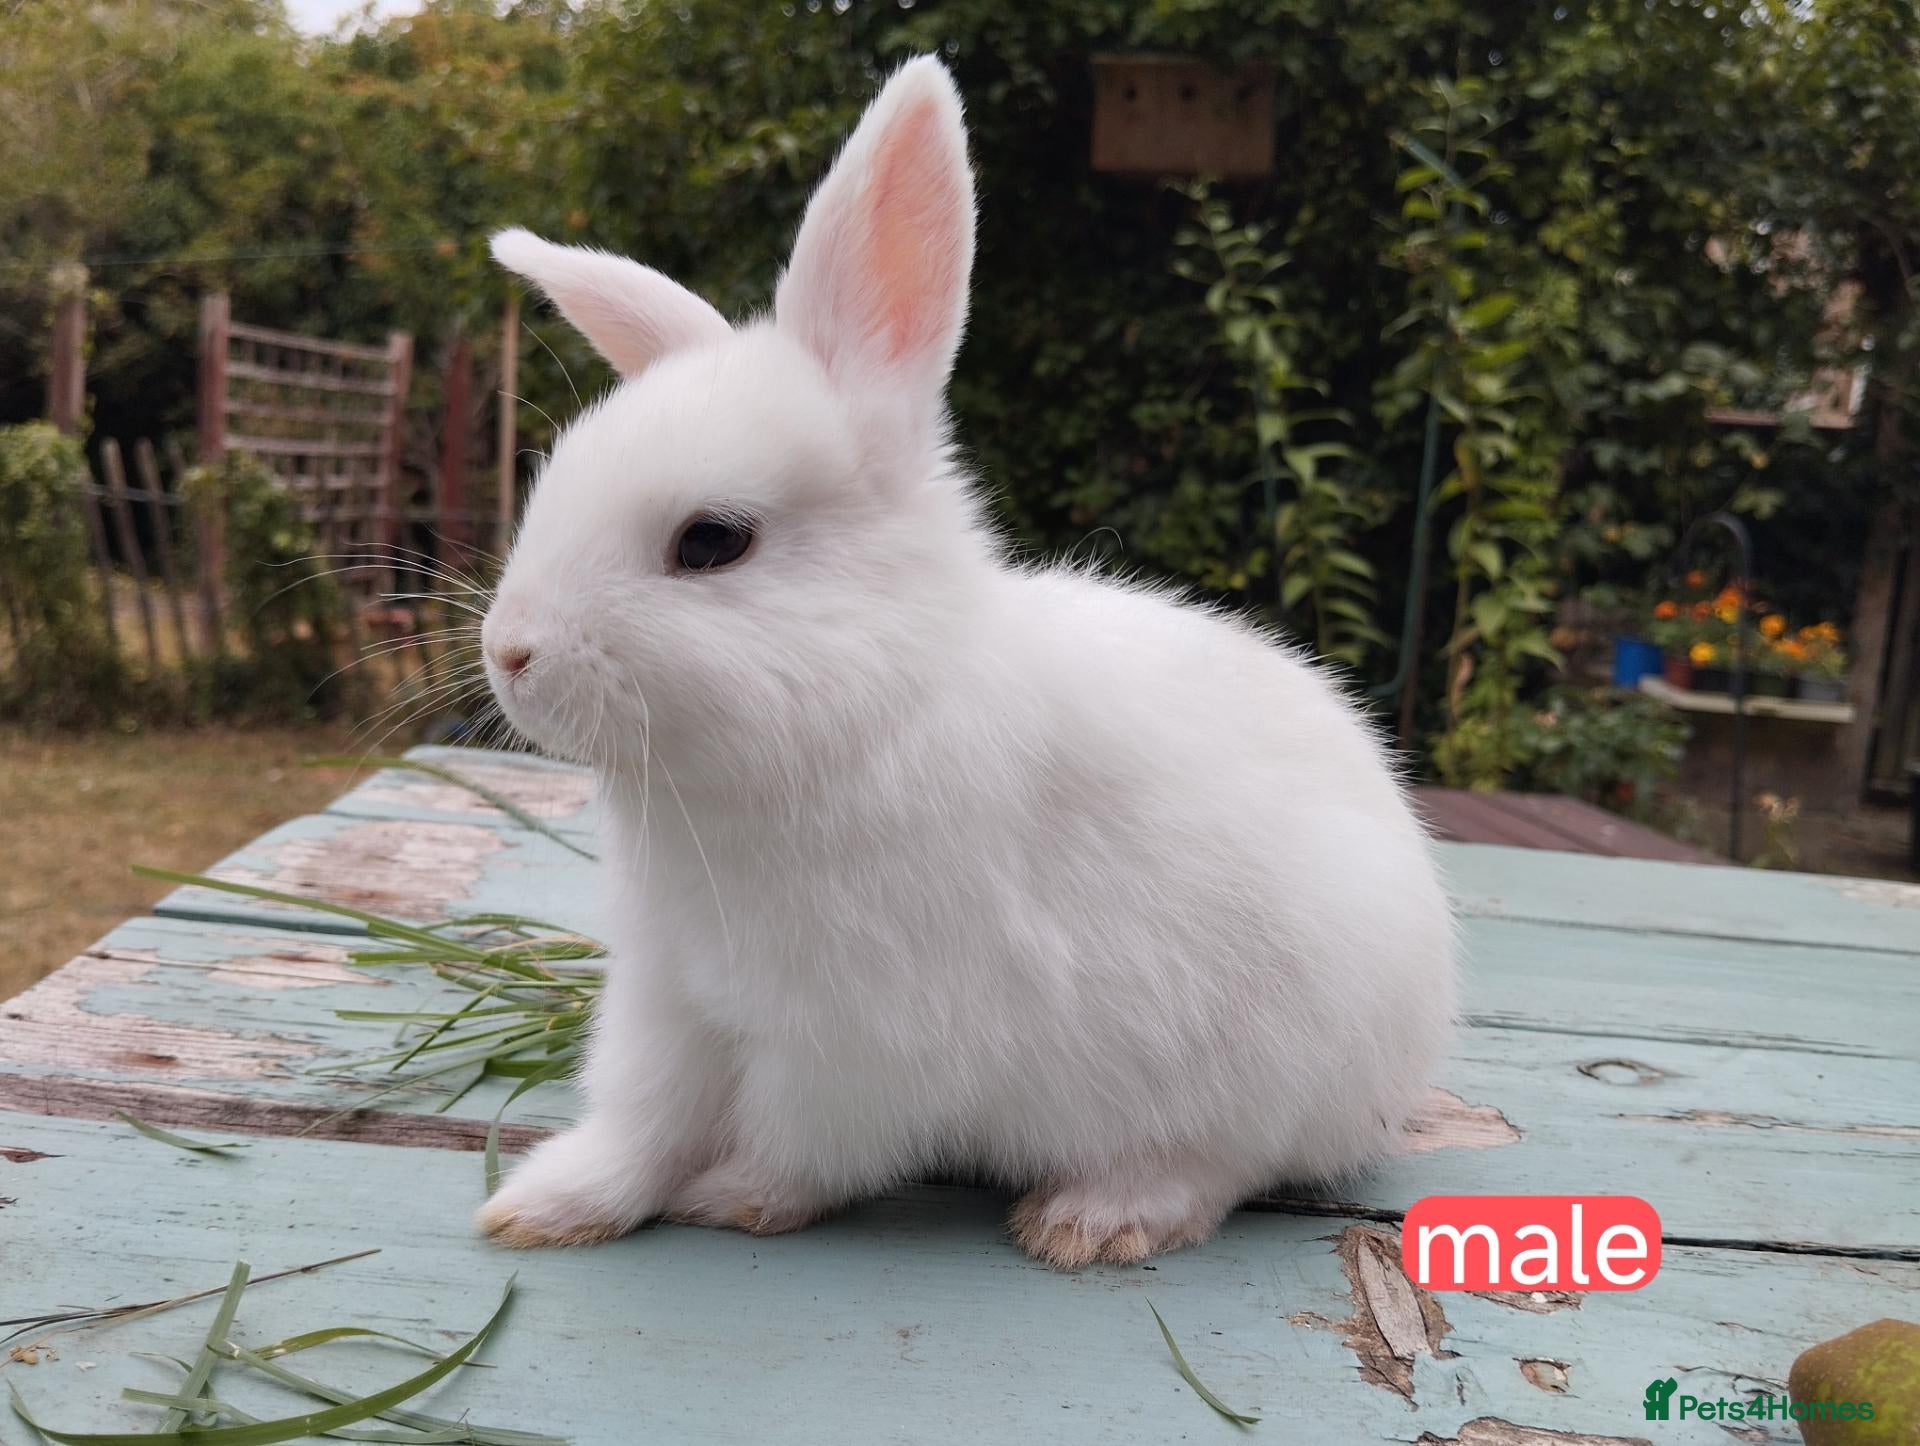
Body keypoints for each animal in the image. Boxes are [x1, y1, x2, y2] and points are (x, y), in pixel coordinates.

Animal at [474, 55, 1456, 1268]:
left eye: (711, 541)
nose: (510, 654)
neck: (868, 700)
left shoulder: (861, 1036)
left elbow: (805, 1143)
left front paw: (737, 1197)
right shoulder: (671, 996)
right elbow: (642, 1118)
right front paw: (547, 1206)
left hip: (1273, 1061)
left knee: (1221, 1166)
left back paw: (1092, 1219)